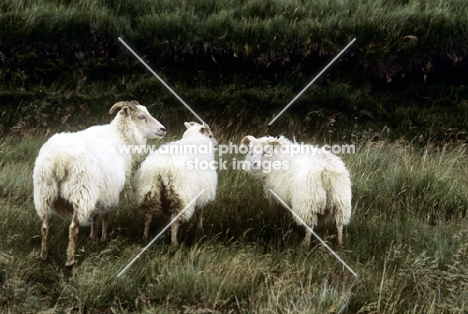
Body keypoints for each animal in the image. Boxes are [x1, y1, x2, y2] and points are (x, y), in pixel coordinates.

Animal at [33, 101, 165, 268]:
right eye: (141, 117)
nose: (163, 129)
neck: (121, 136)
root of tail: (59, 159)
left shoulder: (97, 191)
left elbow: (94, 215)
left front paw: (93, 236)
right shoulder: (109, 190)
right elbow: (105, 215)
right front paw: (103, 237)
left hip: (44, 192)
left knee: (44, 227)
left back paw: (44, 255)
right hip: (80, 192)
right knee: (73, 228)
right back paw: (70, 260)